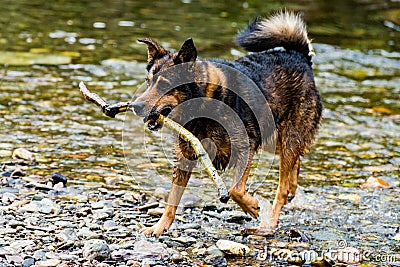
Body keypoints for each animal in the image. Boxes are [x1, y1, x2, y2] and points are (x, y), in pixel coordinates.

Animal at [131, 11, 322, 237]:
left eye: (165, 85)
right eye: (148, 81)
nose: (135, 106)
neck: (203, 104)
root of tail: (299, 56)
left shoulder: (246, 147)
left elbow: (235, 190)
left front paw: (252, 206)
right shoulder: (185, 157)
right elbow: (172, 200)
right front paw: (160, 227)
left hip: (288, 136)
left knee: (282, 185)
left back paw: (270, 223)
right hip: (273, 138)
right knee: (294, 161)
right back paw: (292, 188)